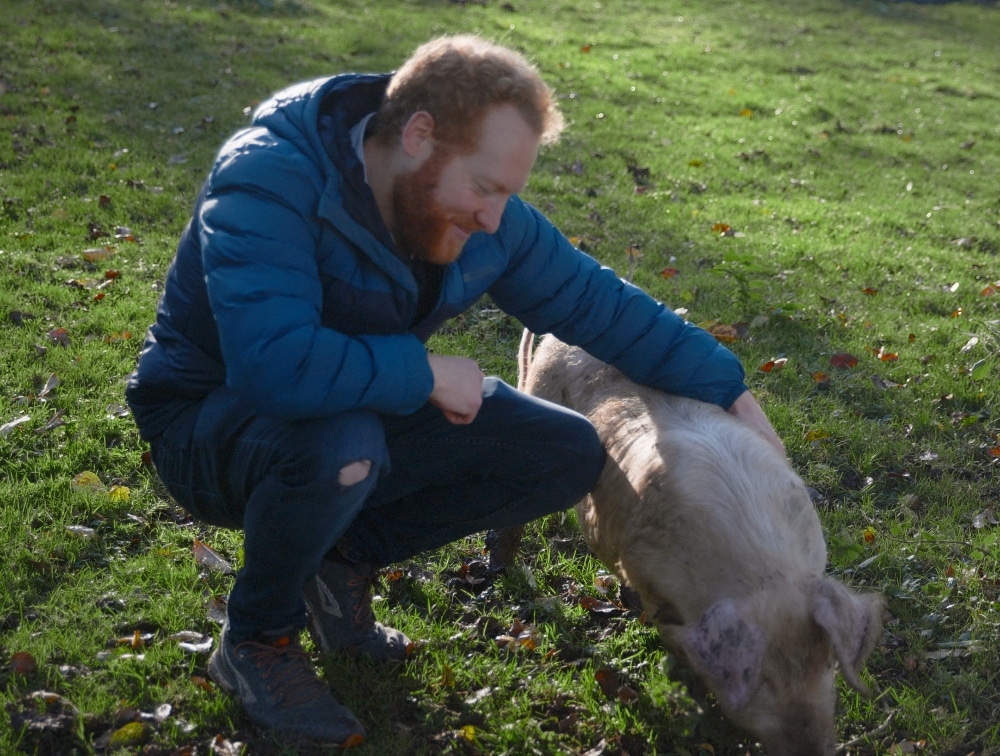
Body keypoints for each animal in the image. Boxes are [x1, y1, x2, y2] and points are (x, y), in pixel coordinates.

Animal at [516, 336, 884, 756]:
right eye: (761, 682)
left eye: (826, 663)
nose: (813, 748)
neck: (766, 576)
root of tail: (553, 341)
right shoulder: (650, 579)